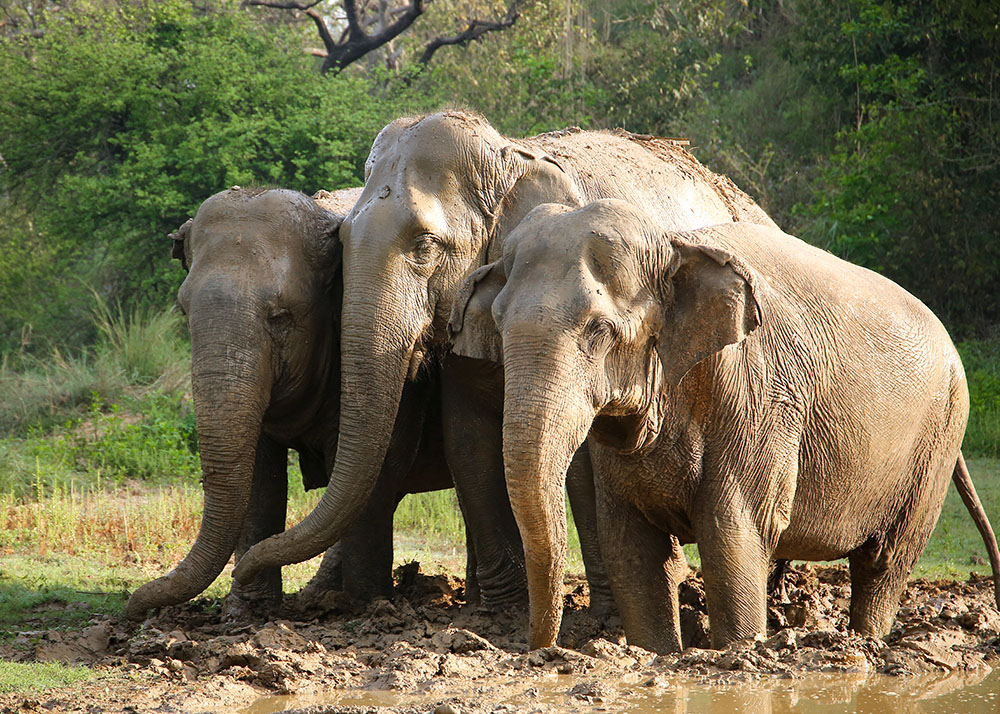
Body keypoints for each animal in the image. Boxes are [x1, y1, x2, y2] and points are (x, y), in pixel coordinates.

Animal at [125, 186, 464, 619]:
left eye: (281, 317)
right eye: (183, 310)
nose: (134, 605)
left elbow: (381, 466)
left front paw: (369, 609)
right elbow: (260, 477)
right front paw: (246, 613)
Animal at [231, 111, 778, 612]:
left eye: (424, 244)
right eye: (341, 242)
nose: (242, 568)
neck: (510, 156)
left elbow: (582, 459)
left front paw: (599, 616)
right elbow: (468, 438)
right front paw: (502, 613)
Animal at [450, 198, 1000, 652]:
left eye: (600, 330)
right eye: (497, 325)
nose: (538, 650)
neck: (673, 244)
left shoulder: (758, 399)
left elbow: (732, 534)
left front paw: (737, 653)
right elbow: (631, 547)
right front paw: (658, 654)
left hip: (936, 442)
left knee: (886, 561)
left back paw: (866, 642)